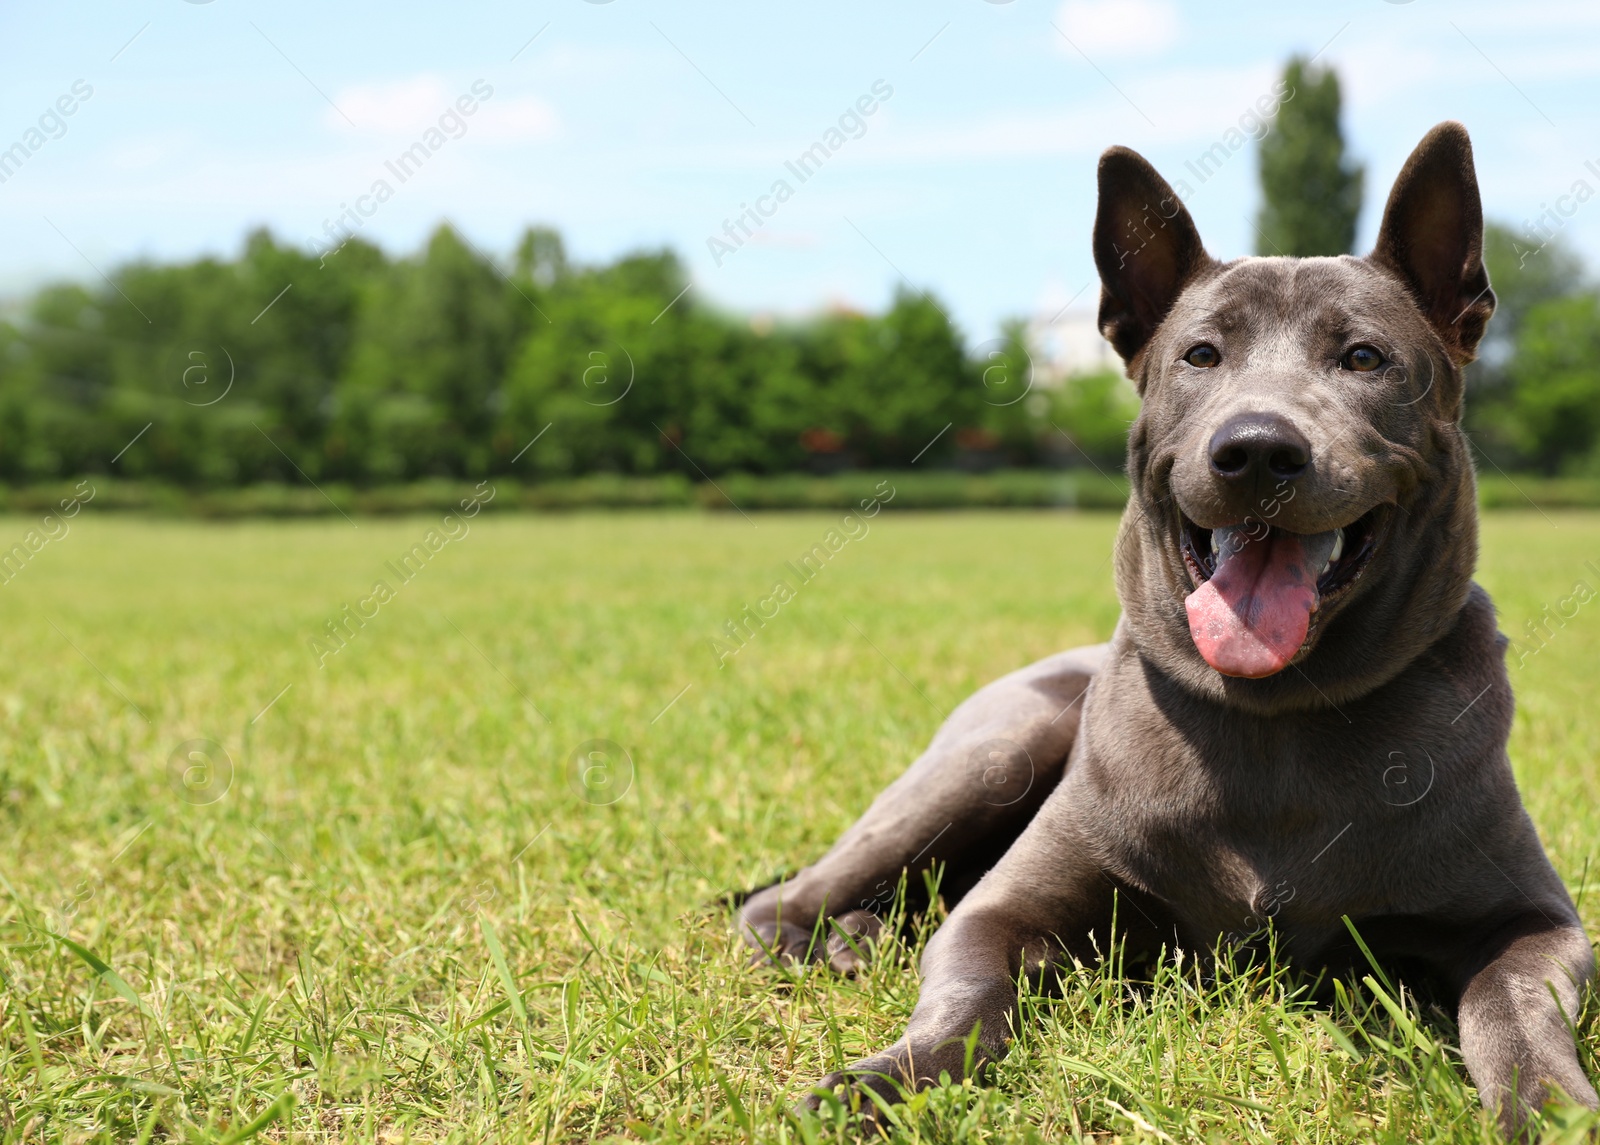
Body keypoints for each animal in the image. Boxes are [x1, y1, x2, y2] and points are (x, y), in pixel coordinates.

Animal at [739, 120, 1600, 1138]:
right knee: (785, 898)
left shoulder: (1532, 919)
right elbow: (967, 988)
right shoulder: (1007, 909)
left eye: (1363, 357)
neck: (1279, 718)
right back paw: (829, 940)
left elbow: (1517, 1004)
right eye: (1200, 356)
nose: (1257, 449)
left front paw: (1553, 1105)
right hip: (993, 752)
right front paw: (884, 1079)